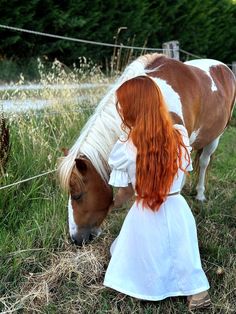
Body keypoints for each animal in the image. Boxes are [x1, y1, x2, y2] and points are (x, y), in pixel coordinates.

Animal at [57, 53, 236, 245]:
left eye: (77, 195)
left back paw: (200, 194)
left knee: (203, 163)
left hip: (215, 138)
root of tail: (223, 67)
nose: (75, 239)